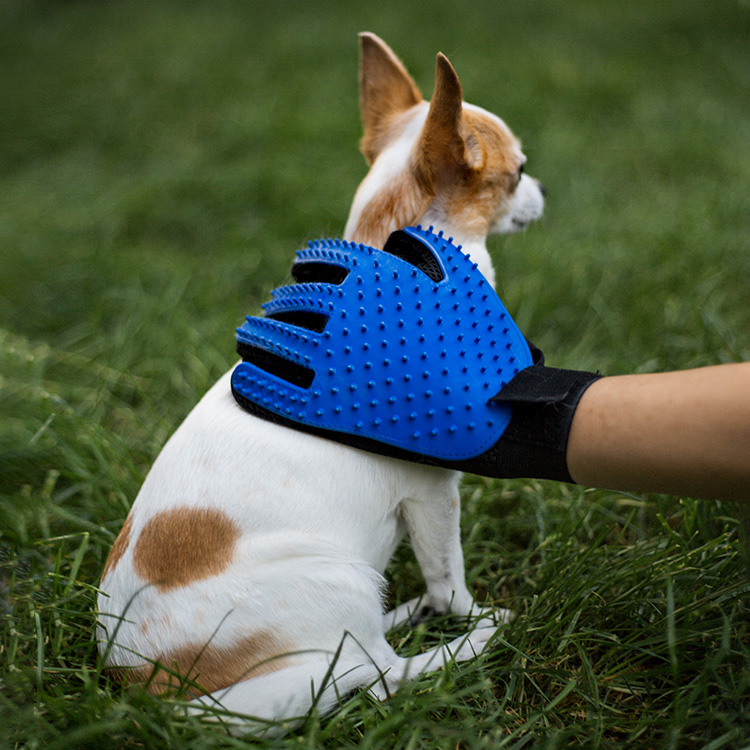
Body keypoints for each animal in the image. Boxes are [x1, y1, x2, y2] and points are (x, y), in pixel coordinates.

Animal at [98, 33, 548, 736]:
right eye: (520, 170)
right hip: (342, 579)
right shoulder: (434, 496)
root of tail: (148, 689)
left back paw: (406, 615)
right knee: (383, 676)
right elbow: (450, 580)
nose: (546, 188)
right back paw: (468, 642)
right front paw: (470, 617)